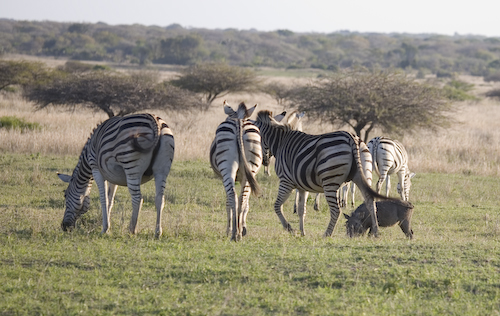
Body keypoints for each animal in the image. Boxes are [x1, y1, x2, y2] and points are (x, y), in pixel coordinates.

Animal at [208, 101, 262, 242]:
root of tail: (239, 123)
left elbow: (227, 202)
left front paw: (228, 229)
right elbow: (247, 204)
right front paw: (243, 228)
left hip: (227, 167)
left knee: (232, 196)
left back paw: (233, 234)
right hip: (251, 167)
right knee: (242, 199)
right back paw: (238, 233)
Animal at [254, 111, 386, 237]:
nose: (264, 162)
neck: (281, 142)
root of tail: (351, 137)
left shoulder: (286, 181)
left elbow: (277, 206)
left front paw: (290, 229)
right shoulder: (302, 186)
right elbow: (302, 210)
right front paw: (302, 233)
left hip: (330, 181)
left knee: (336, 210)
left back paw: (327, 234)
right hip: (364, 174)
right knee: (370, 202)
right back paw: (375, 232)